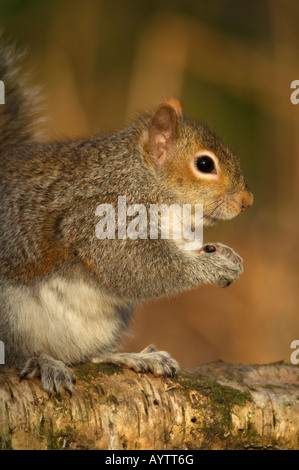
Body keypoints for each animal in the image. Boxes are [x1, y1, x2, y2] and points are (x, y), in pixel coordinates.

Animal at [0, 45, 253, 396]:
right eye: (204, 164)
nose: (247, 202)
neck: (142, 178)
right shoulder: (101, 218)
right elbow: (137, 267)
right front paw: (212, 267)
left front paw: (228, 256)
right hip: (10, 315)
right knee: (16, 355)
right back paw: (43, 362)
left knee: (88, 355)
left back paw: (133, 357)